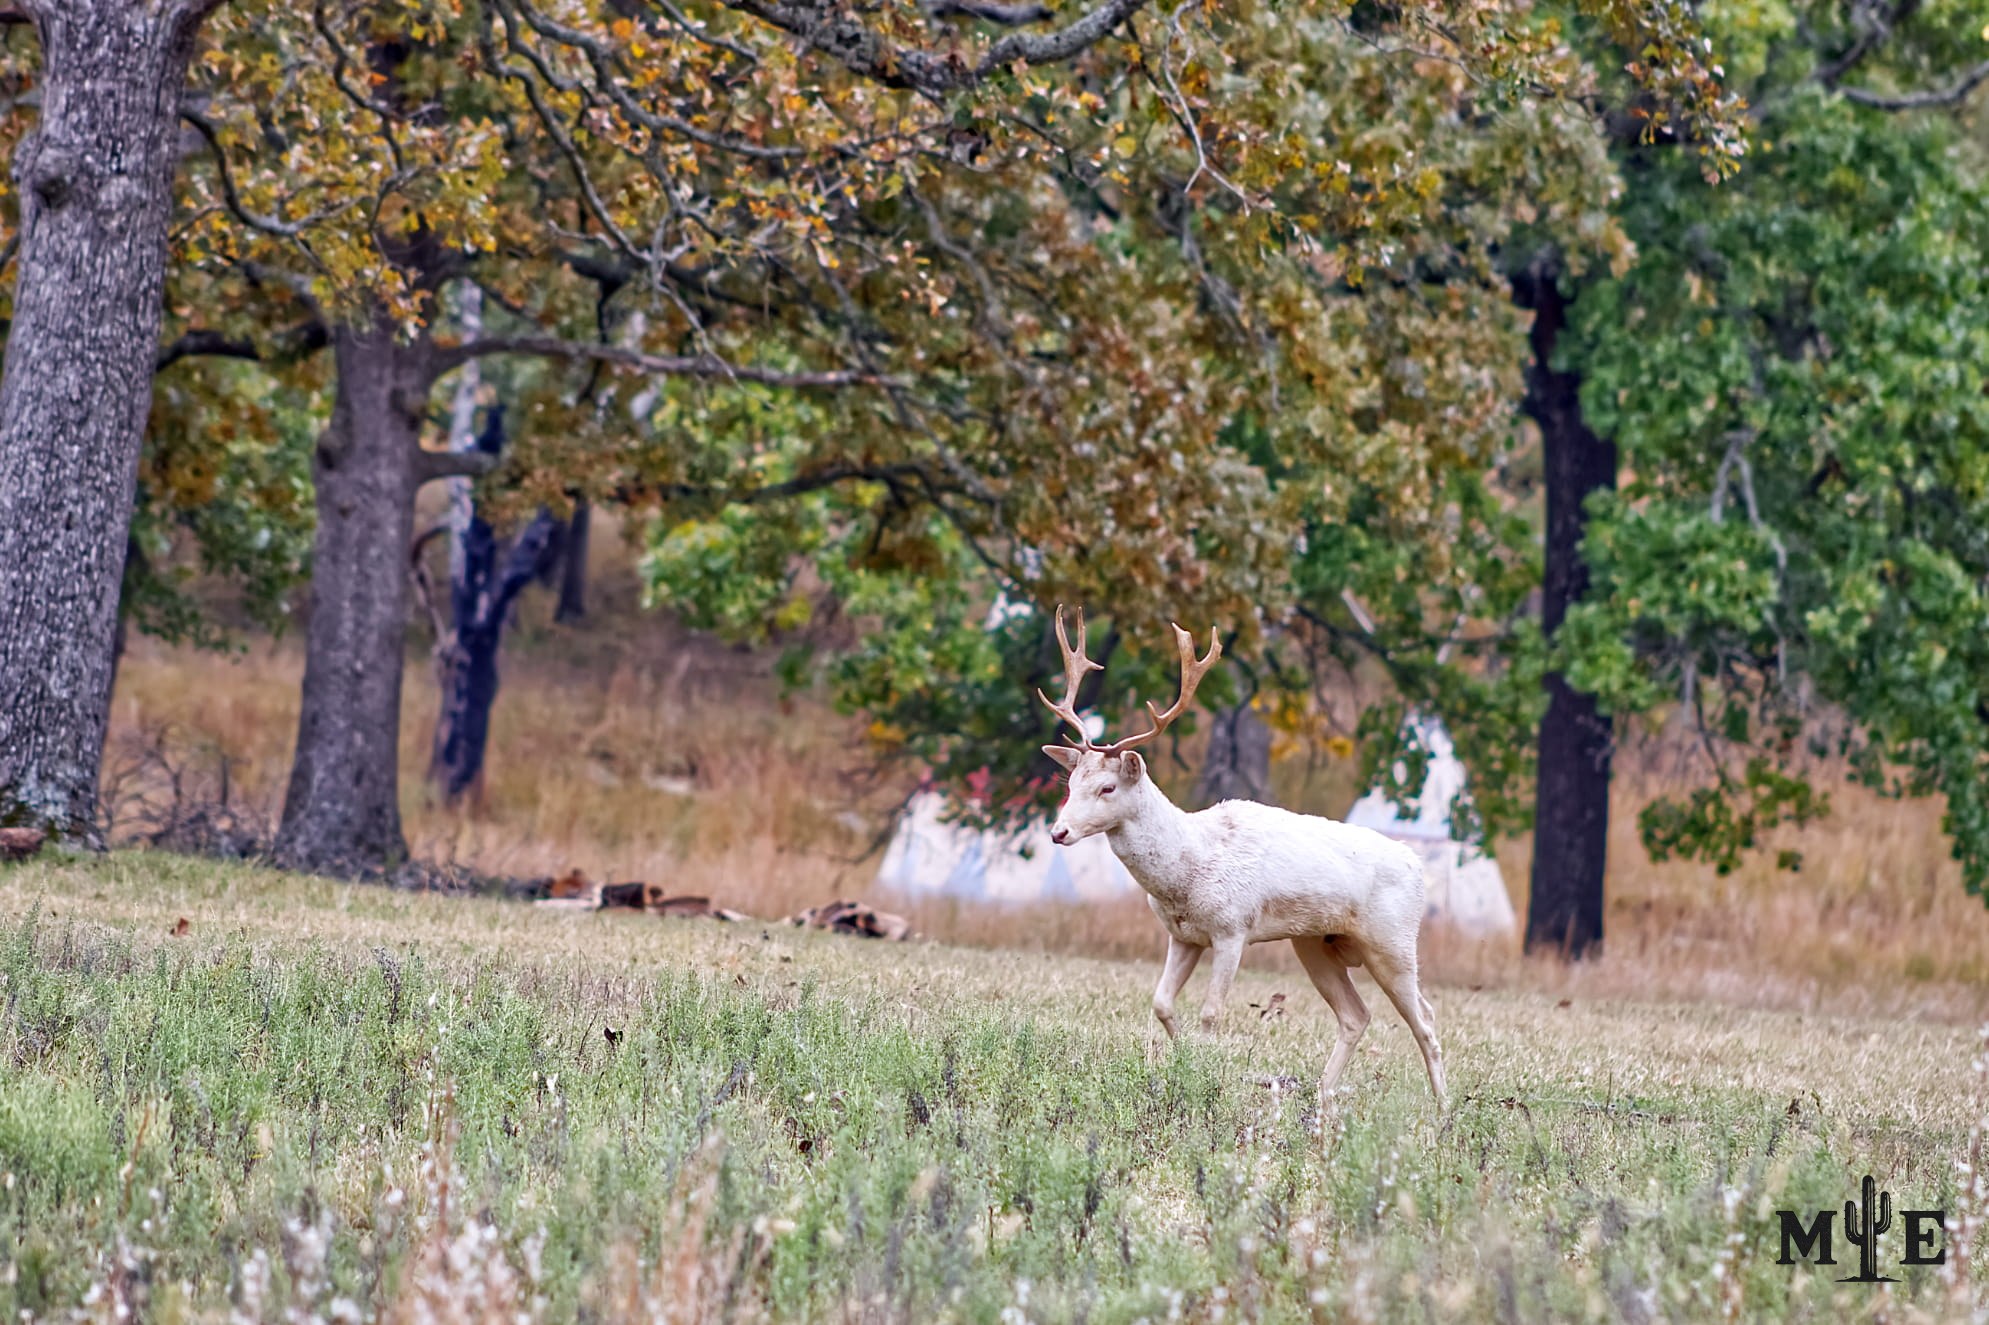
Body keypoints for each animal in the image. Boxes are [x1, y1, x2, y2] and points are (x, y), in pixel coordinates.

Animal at [1038, 606, 1447, 1107]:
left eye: (1108, 787)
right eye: (1070, 783)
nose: (1059, 832)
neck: (1185, 872)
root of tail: (1418, 864)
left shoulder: (1233, 928)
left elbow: (1212, 1012)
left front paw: (1202, 1074)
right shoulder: (1183, 936)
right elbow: (1161, 1002)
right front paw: (1182, 1060)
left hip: (1393, 940)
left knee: (1425, 1019)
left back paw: (1444, 1108)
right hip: (1315, 942)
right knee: (1357, 1015)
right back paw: (1321, 1096)